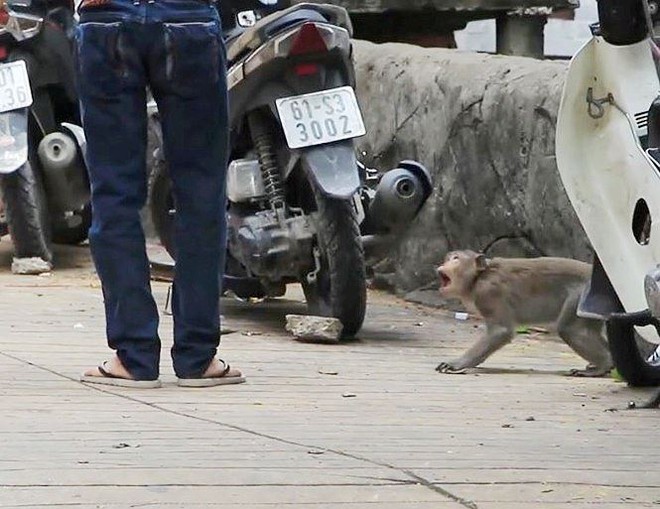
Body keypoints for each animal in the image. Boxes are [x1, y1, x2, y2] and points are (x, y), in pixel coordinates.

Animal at [434, 248, 612, 376]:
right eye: (448, 258)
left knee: (571, 330)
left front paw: (458, 364)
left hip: (581, 295)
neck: (478, 277)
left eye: (456, 258)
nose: (444, 264)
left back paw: (603, 366)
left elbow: (500, 331)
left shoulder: (488, 292)